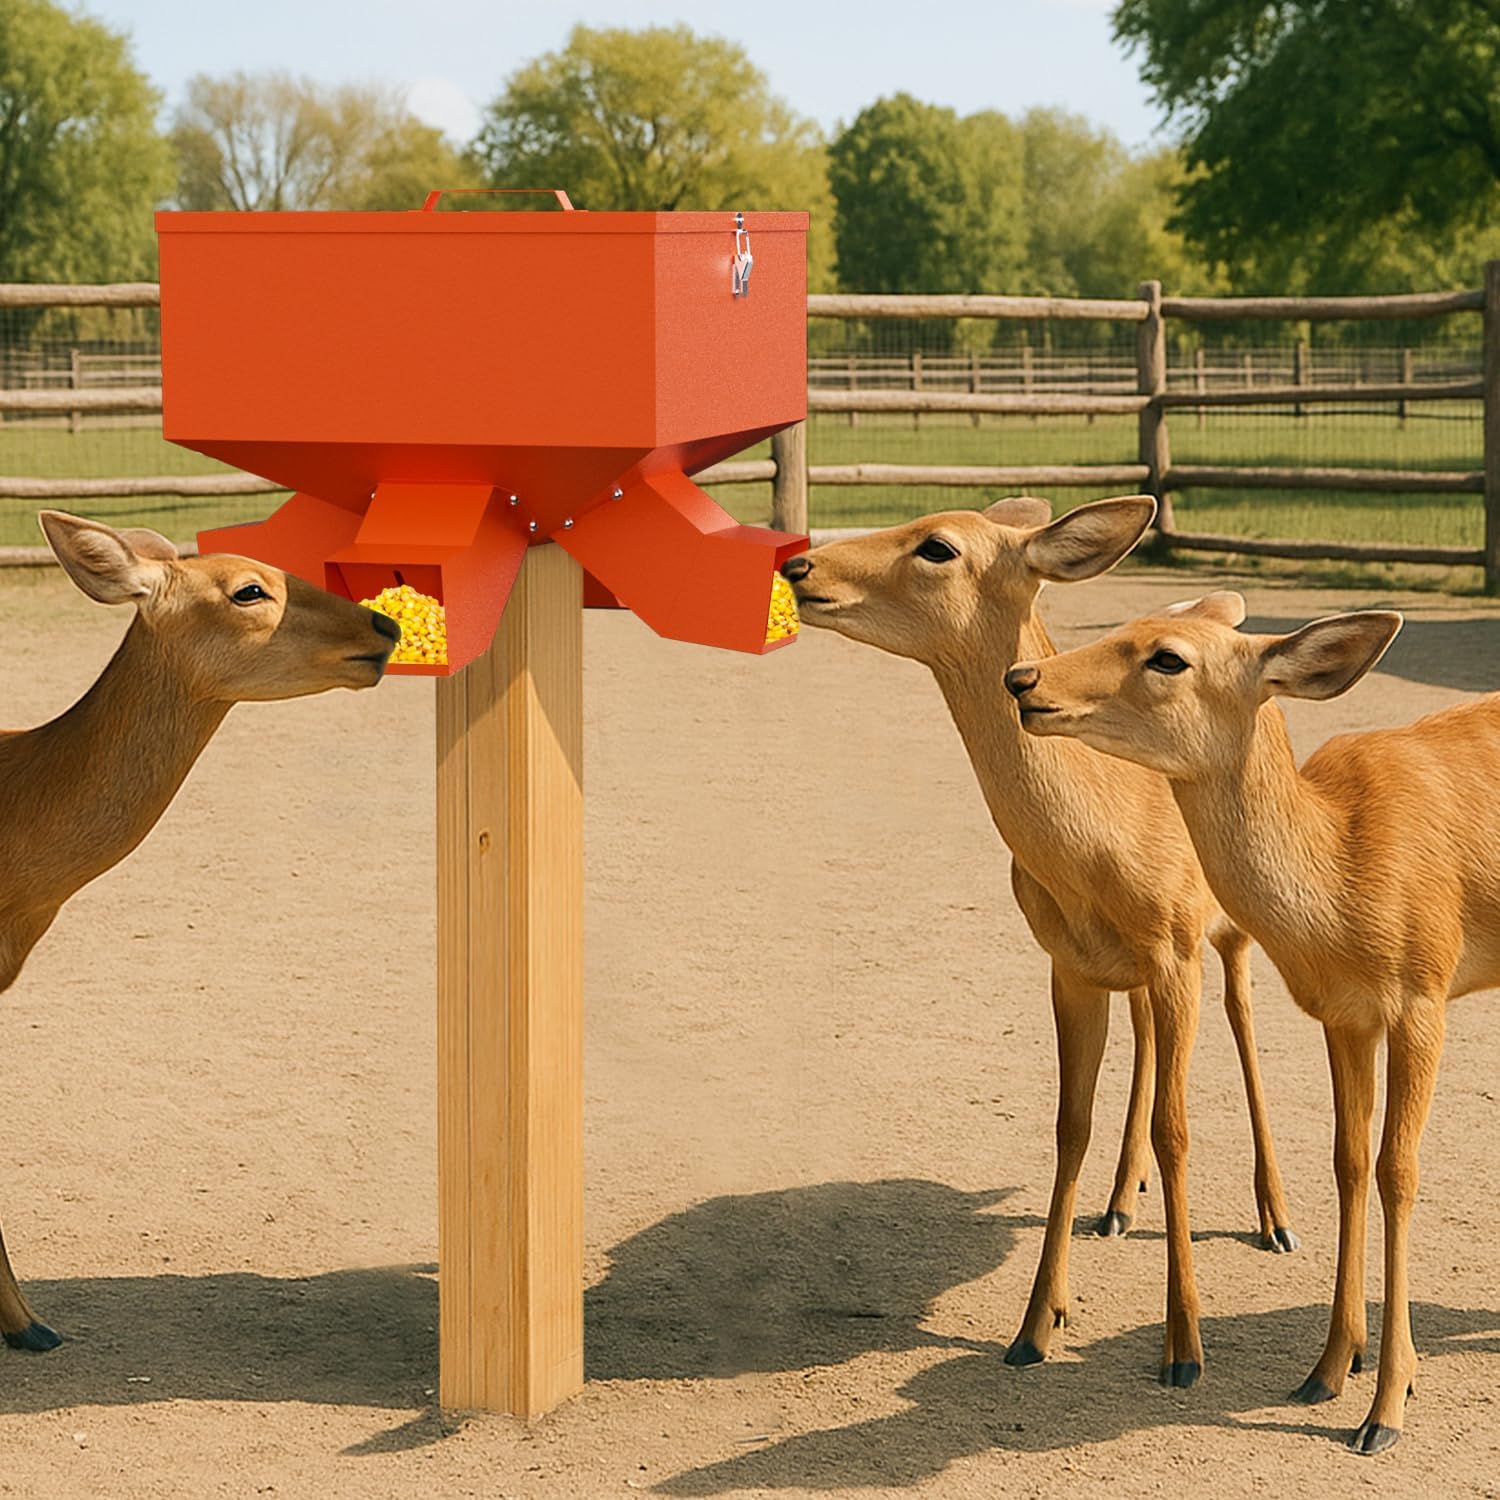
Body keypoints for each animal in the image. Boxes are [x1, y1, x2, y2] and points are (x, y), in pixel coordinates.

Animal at [782, 495, 1296, 1388]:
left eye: (937, 546)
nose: (798, 564)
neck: (1098, 846)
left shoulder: (1177, 944)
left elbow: (1178, 1130)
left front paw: (1184, 1349)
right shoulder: (1068, 963)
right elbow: (1069, 1124)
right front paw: (1034, 1326)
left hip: (1229, 928)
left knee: (1243, 1020)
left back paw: (1275, 1217)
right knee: (1147, 1039)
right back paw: (1119, 1204)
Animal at [1003, 579, 1485, 1454]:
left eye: (1168, 656)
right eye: (1123, 625)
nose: (1024, 679)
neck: (1347, 868)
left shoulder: (1424, 993)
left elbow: (1399, 1172)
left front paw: (1386, 1409)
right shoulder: (1346, 1012)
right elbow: (1349, 1160)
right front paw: (1326, 1371)